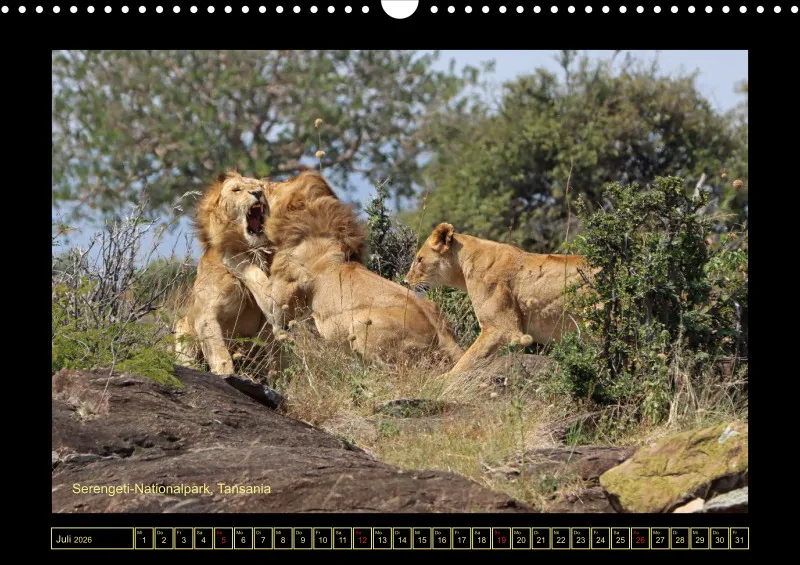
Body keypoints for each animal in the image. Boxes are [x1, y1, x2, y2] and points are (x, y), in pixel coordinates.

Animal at [175, 171, 282, 376]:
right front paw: (225, 373)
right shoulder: (206, 316)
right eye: (237, 190)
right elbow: (219, 352)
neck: (251, 250)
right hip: (181, 328)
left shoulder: (270, 322)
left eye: (260, 186)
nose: (258, 193)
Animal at [262, 171, 463, 365]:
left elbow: (272, 315)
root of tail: (442, 332)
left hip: (360, 325)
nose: (263, 182)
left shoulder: (282, 298)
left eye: (276, 185)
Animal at [403, 223, 598, 376]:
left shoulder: (501, 329)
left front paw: (439, 383)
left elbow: (466, 361)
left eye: (419, 259)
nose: (405, 281)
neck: (464, 261)